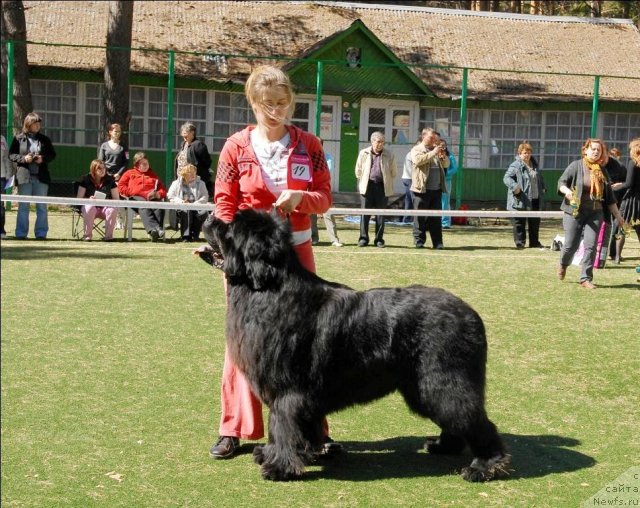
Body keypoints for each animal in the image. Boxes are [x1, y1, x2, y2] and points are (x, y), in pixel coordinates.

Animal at [200, 208, 510, 482]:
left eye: (231, 229)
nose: (209, 216)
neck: (267, 289)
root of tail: (471, 314)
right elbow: (298, 428)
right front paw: (285, 454)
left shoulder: (287, 391)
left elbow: (283, 426)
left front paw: (279, 467)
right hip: (423, 387)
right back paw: (444, 446)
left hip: (442, 381)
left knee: (474, 419)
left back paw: (485, 466)